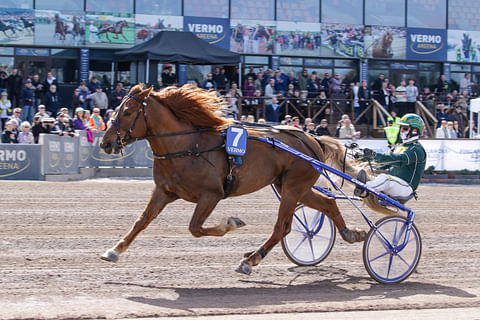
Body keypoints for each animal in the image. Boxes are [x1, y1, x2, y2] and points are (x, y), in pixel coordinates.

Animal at [99, 85, 372, 276]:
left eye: (127, 112)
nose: (105, 143)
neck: (188, 146)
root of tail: (312, 139)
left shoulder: (211, 195)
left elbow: (195, 228)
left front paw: (232, 223)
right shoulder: (163, 191)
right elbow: (141, 221)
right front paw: (113, 250)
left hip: (293, 188)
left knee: (281, 227)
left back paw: (251, 260)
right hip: (293, 187)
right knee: (327, 203)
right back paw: (351, 233)